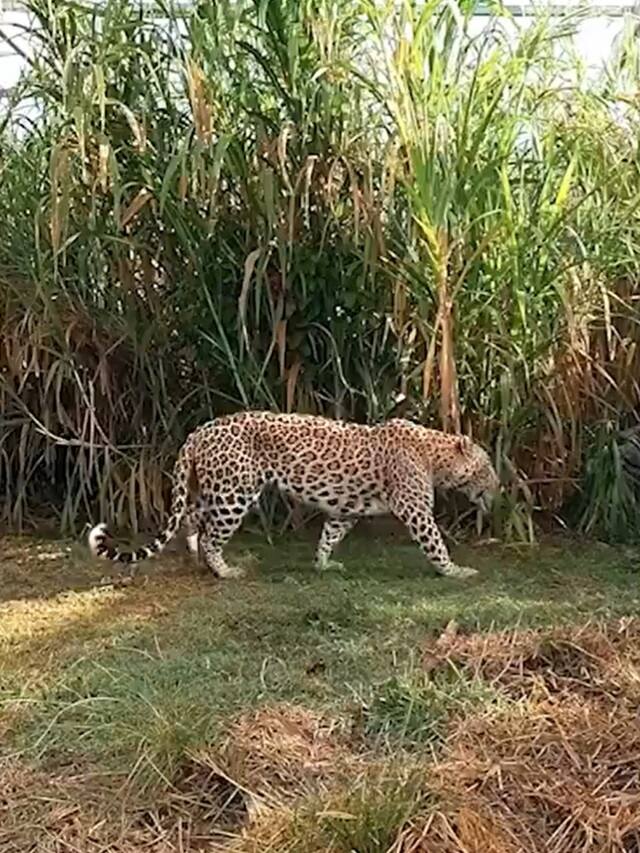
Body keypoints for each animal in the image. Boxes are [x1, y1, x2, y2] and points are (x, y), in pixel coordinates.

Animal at [89, 412, 500, 580]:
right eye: (488, 466)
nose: (499, 488)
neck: (435, 453)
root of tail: (199, 431)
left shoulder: (346, 510)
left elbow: (329, 535)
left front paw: (322, 564)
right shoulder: (416, 510)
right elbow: (435, 543)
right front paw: (454, 571)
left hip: (212, 488)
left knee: (191, 518)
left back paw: (194, 557)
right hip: (234, 492)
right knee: (211, 535)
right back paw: (225, 570)